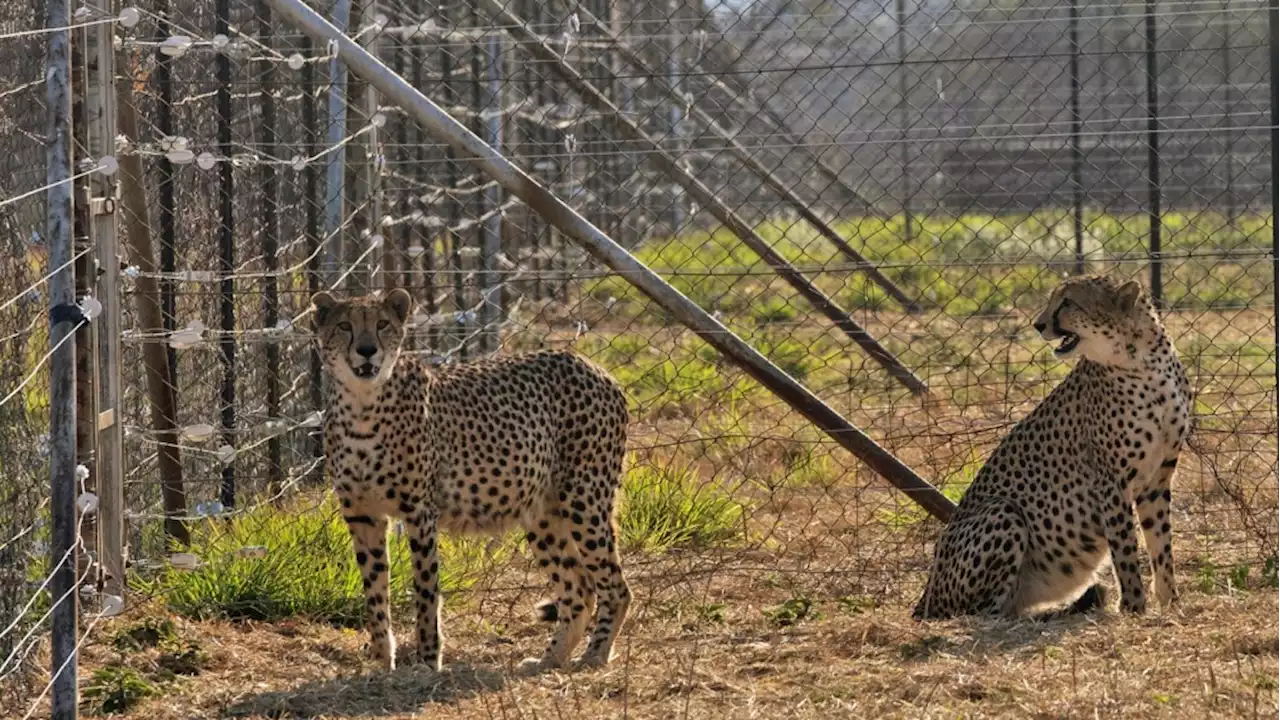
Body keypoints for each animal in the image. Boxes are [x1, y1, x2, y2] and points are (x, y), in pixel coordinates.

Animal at [309, 288, 629, 671]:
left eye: (382, 324)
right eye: (345, 326)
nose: (368, 349)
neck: (362, 404)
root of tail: (590, 364)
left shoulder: (419, 512)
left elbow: (426, 591)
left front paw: (427, 661)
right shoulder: (362, 515)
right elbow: (374, 592)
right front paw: (383, 663)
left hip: (584, 500)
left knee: (615, 586)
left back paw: (595, 655)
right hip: (542, 513)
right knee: (579, 587)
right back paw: (549, 659)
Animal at [916, 272, 1192, 617]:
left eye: (1068, 302)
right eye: (1053, 300)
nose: (1038, 324)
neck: (1143, 360)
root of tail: (925, 594)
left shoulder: (1157, 477)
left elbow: (1161, 544)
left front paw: (1171, 603)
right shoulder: (1110, 481)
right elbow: (1125, 548)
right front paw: (1133, 607)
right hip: (1003, 510)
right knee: (984, 611)